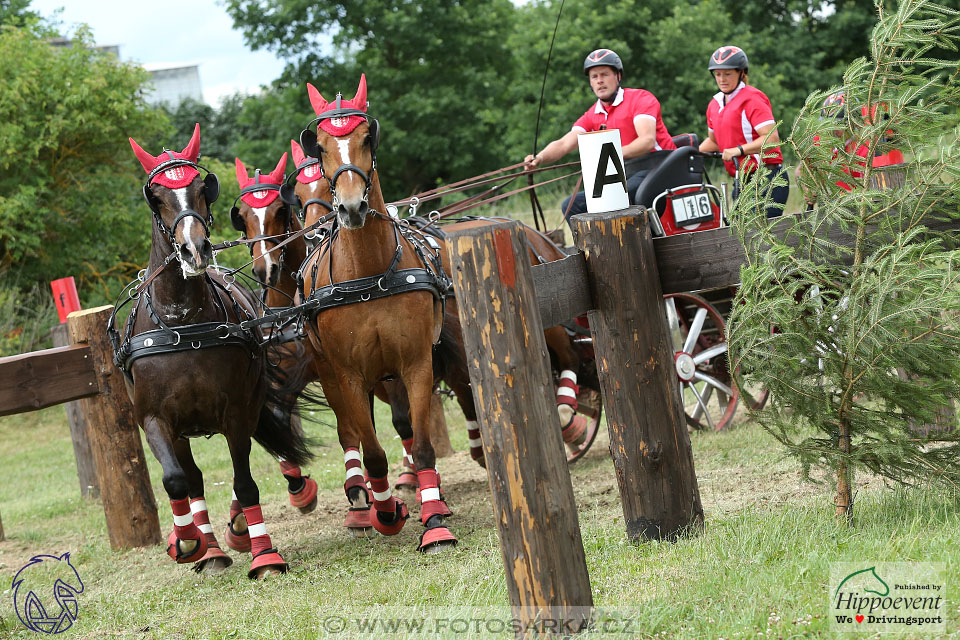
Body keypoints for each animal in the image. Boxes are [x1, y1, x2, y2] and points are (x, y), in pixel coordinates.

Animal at [119, 126, 316, 580]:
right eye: (156, 194)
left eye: (201, 188)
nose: (195, 251)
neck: (183, 322)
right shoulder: (154, 420)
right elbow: (177, 481)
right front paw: (187, 541)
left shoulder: (239, 410)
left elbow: (244, 481)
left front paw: (264, 554)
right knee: (191, 479)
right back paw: (207, 549)